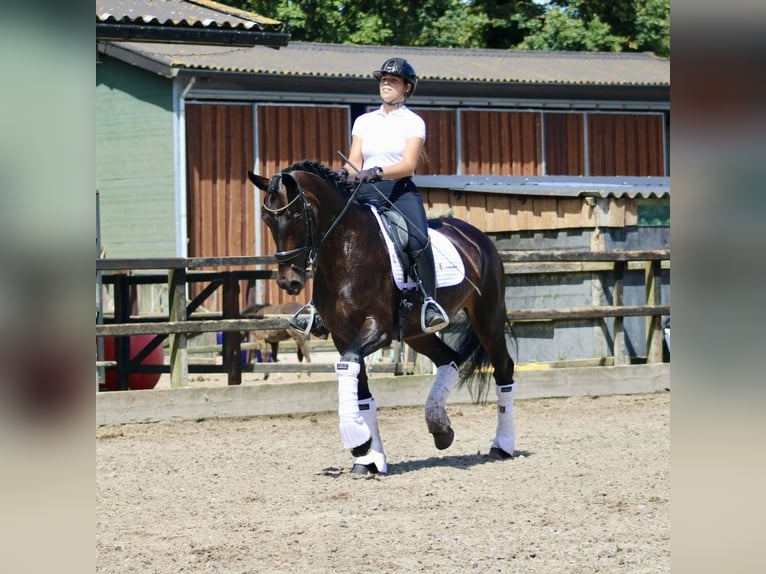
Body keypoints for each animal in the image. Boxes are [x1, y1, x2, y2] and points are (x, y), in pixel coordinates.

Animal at [249, 162, 520, 476]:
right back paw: (440, 428)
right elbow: (360, 391)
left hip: (487, 318)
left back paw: (502, 446)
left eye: (295, 215)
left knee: (503, 369)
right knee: (449, 359)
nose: (288, 281)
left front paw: (357, 441)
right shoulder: (343, 336)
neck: (345, 249)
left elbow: (349, 369)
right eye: (267, 219)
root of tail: (477, 236)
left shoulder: (376, 329)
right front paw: (369, 458)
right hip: (417, 333)